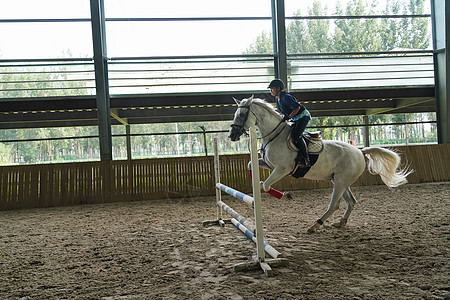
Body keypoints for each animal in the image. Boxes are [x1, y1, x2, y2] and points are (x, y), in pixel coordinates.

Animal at [229, 96, 412, 234]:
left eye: (242, 114)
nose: (232, 135)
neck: (274, 135)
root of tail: (360, 152)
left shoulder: (281, 169)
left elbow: (266, 185)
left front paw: (285, 195)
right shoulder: (268, 164)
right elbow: (250, 164)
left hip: (340, 182)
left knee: (335, 205)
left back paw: (315, 225)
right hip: (339, 180)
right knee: (351, 202)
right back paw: (341, 223)